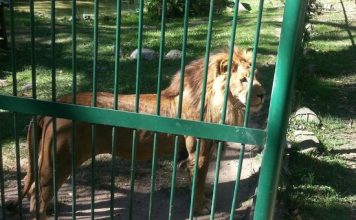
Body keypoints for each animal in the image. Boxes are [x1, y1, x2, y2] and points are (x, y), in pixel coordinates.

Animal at [16, 47, 266, 219]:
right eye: (244, 79)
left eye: (257, 78)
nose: (263, 94)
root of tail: (55, 102)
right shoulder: (199, 152)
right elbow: (198, 179)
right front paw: (201, 207)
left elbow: (200, 180)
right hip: (59, 160)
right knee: (37, 196)